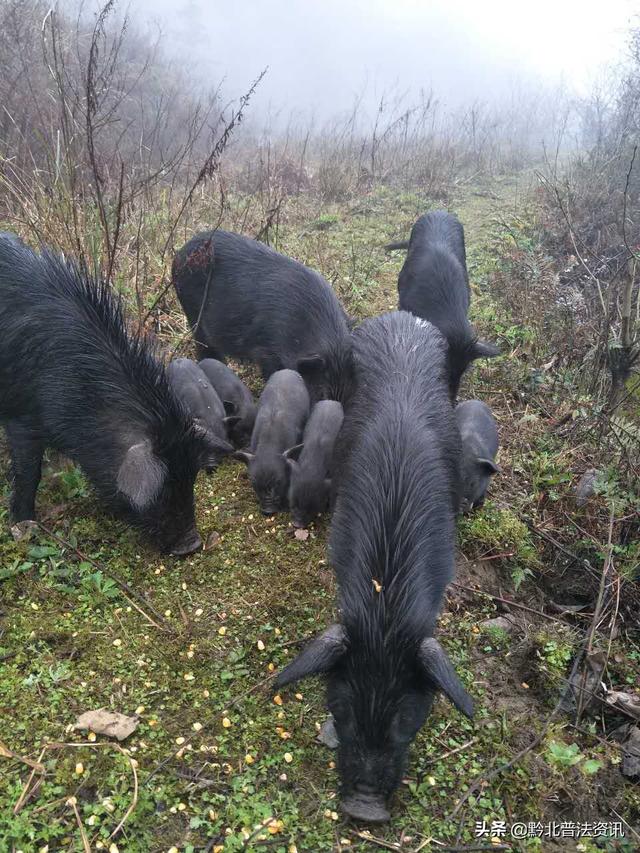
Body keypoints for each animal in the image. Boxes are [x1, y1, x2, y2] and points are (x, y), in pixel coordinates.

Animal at [0, 236, 220, 556]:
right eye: (163, 488)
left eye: (190, 479)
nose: (192, 544)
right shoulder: (22, 417)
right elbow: (29, 471)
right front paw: (23, 527)